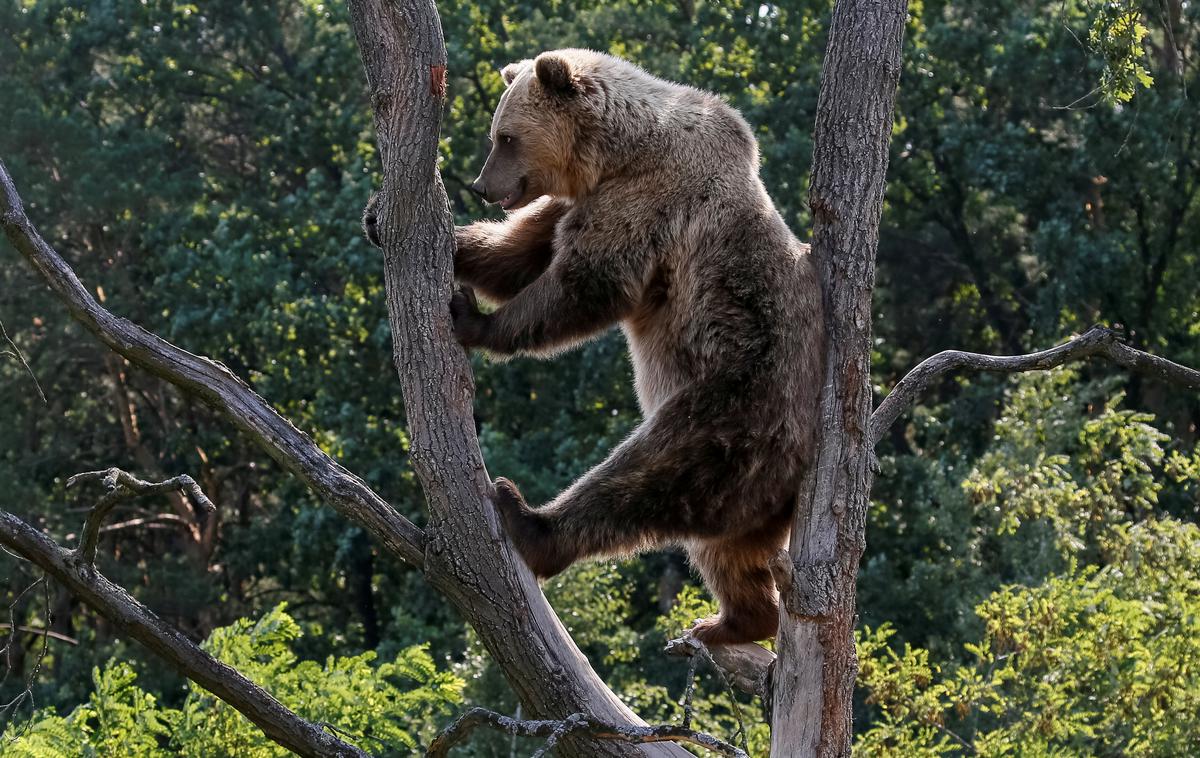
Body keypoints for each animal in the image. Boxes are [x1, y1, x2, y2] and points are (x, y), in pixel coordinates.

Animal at [422, 47, 825, 642]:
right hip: (750, 488)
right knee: (725, 549)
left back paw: (529, 521)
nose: (481, 185)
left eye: (506, 137)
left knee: (648, 474)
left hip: (736, 406)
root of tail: (792, 480)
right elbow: (520, 252)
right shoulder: (577, 200)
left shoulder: (648, 198)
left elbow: (588, 281)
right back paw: (733, 622)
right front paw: (410, 228)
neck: (617, 152)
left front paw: (473, 318)